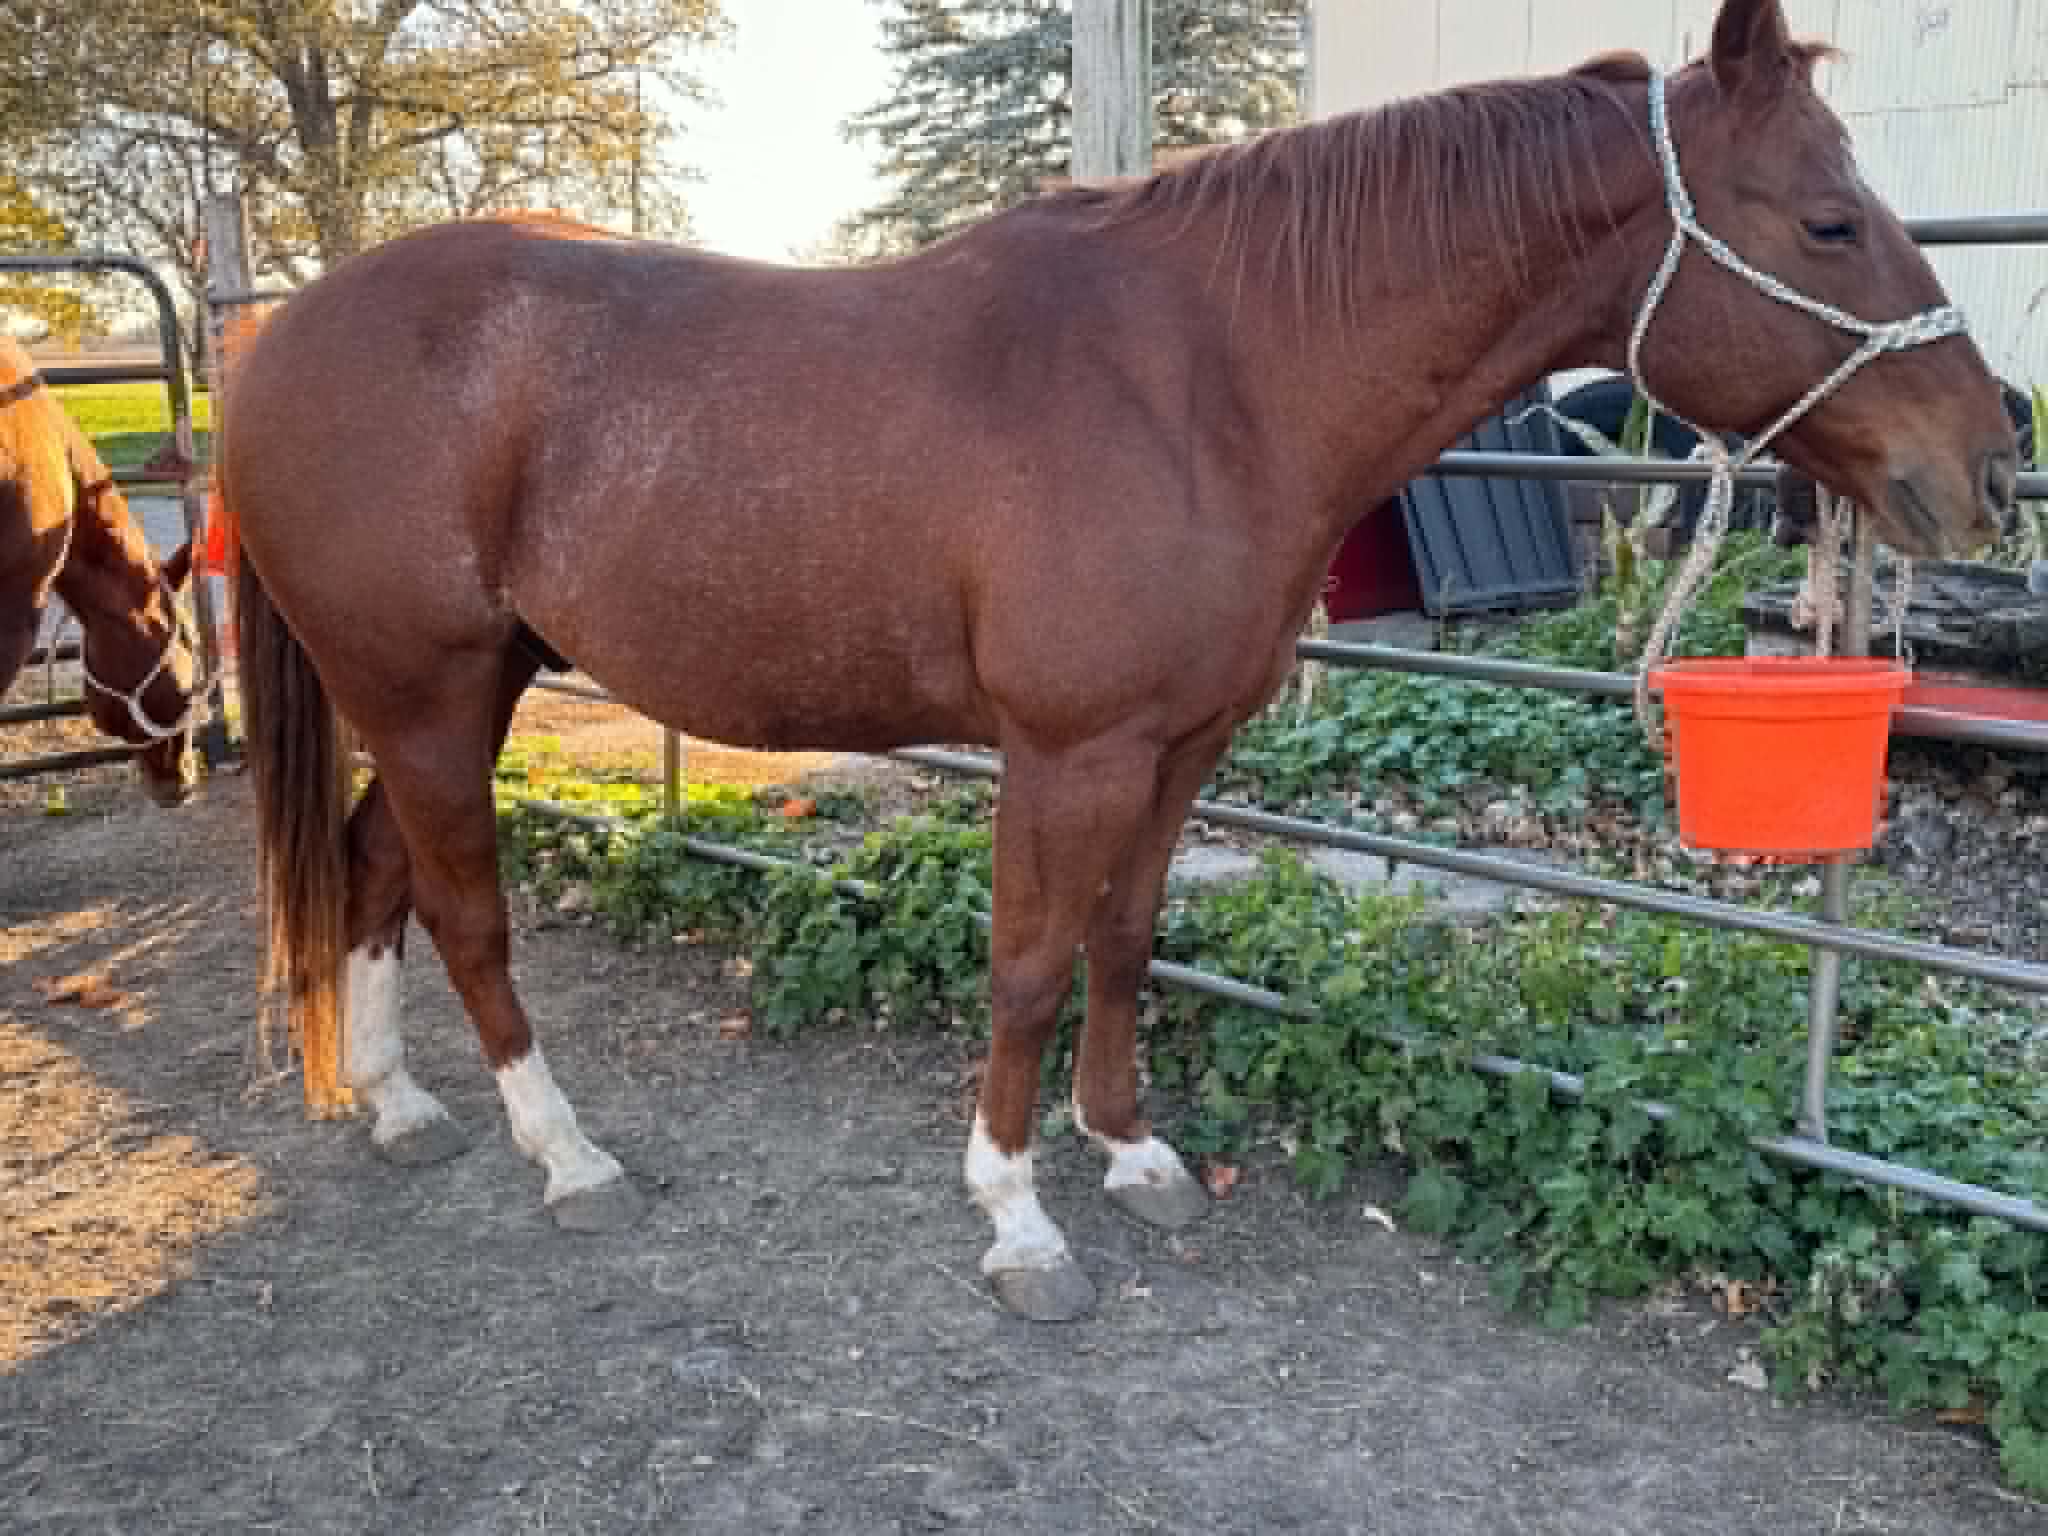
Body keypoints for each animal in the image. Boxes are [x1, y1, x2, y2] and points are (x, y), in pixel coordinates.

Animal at [219, 0, 2016, 1321]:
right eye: (1827, 220)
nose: (1989, 461)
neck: (1207, 376)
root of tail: (281, 334)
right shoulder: (1066, 748)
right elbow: (1025, 960)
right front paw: (1019, 1220)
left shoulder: (1180, 743)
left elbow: (1126, 941)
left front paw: (1130, 1154)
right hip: (430, 689)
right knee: (463, 908)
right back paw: (563, 1153)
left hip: (464, 688)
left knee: (371, 868)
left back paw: (397, 1105)